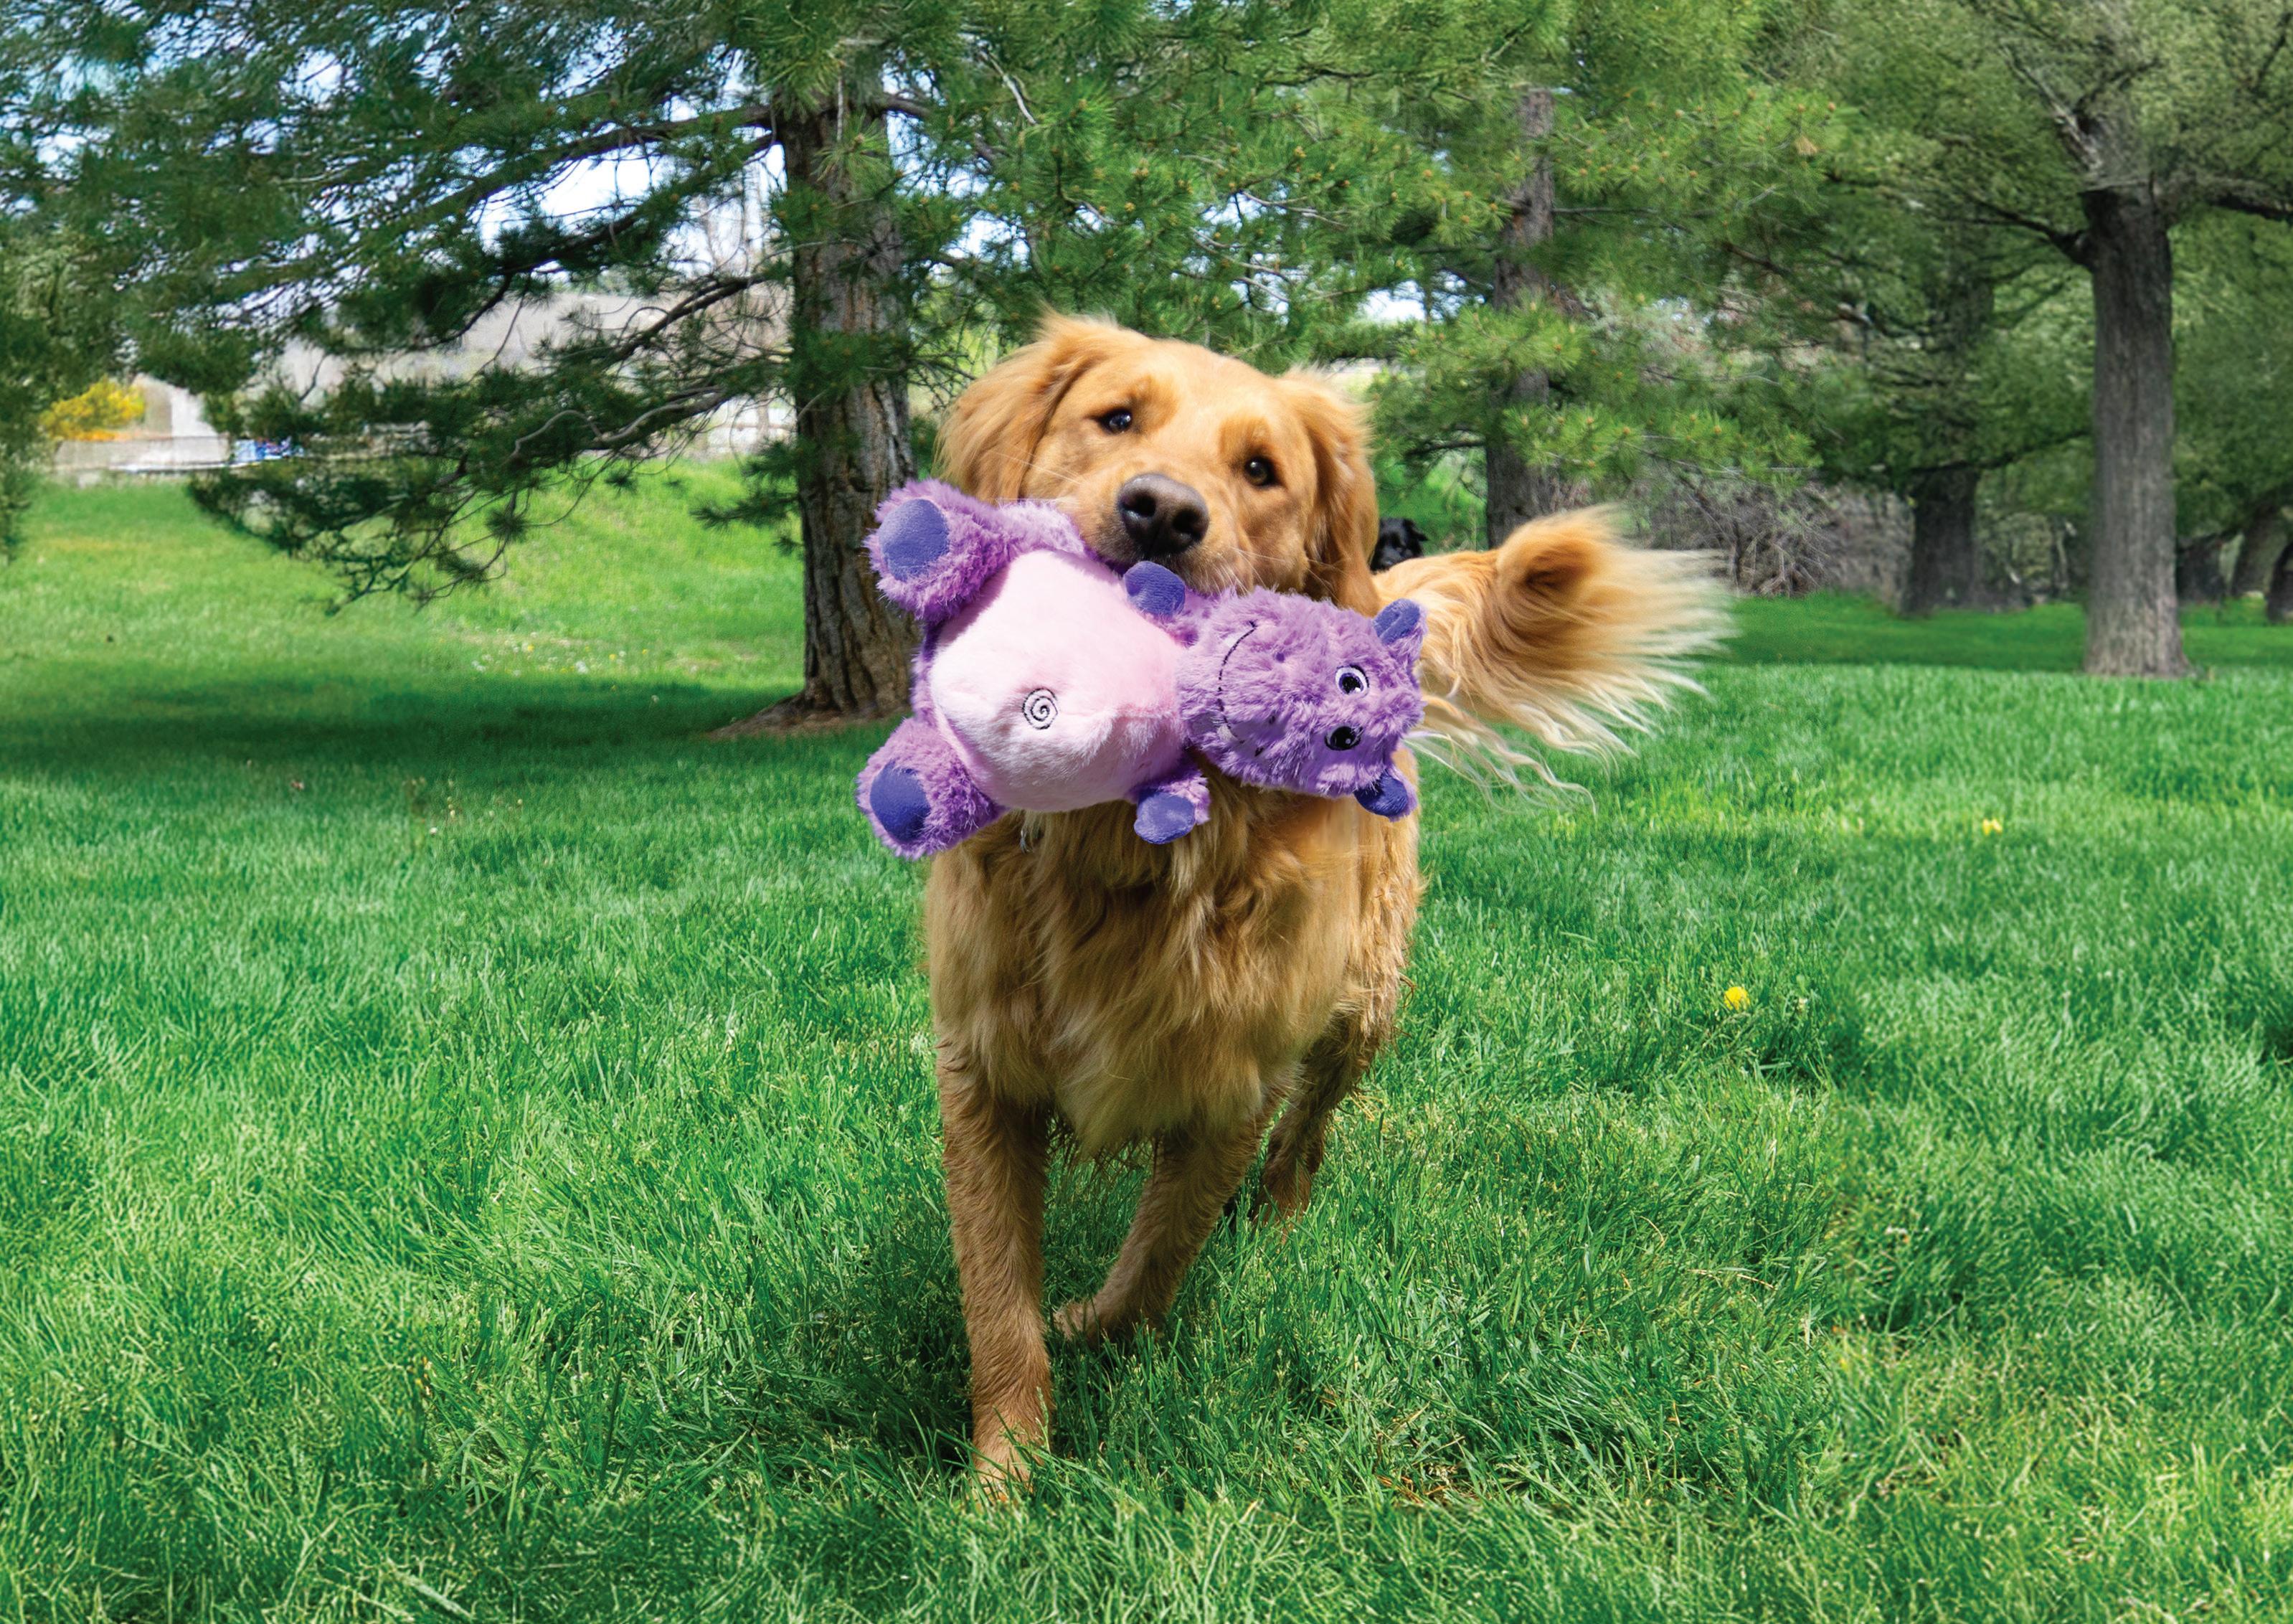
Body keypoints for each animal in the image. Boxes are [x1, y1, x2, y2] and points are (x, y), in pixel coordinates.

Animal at [926, 315, 1721, 1486]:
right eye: (1115, 417)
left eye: (1262, 471)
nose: (1163, 511)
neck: (1127, 839)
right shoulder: (983, 1068)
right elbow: (995, 1297)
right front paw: (1004, 1479)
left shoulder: (1234, 1076)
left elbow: (1158, 1256)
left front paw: (1098, 1331)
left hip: (1364, 1002)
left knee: (1309, 1133)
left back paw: (1276, 1226)